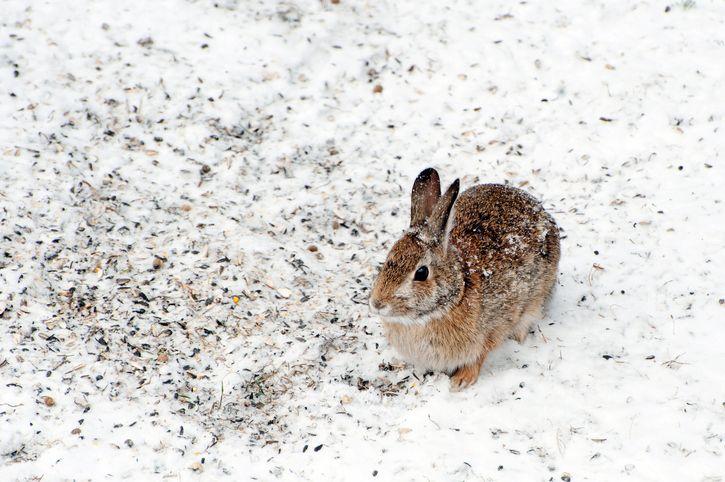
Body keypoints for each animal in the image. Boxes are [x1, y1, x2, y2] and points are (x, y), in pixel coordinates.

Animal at [369, 168, 560, 391]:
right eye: (388, 258)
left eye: (421, 273)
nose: (377, 304)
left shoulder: (491, 330)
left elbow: (479, 355)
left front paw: (461, 381)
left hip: (536, 299)